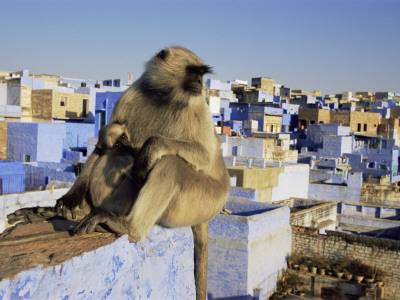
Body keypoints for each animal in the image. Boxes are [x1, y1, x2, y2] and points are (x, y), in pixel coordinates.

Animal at [56, 46, 231, 298]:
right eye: (194, 72)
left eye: (202, 74)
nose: (201, 82)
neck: (164, 97)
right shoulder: (130, 96)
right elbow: (101, 148)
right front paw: (71, 198)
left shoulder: (197, 105)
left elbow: (205, 155)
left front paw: (151, 147)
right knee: (112, 155)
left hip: (202, 201)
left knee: (172, 163)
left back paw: (128, 226)